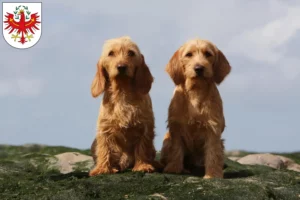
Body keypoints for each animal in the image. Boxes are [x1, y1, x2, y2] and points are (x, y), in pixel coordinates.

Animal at [89, 36, 158, 176]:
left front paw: (142, 165)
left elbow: (143, 147)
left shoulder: (145, 127)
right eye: (111, 53)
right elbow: (104, 148)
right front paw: (102, 168)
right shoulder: (104, 128)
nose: (121, 67)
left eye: (131, 53)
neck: (122, 91)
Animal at [159, 38, 232, 179]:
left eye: (208, 54)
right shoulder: (176, 127)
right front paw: (174, 168)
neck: (196, 91)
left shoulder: (212, 129)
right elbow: (176, 149)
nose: (199, 68)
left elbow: (213, 153)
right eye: (189, 54)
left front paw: (213, 174)